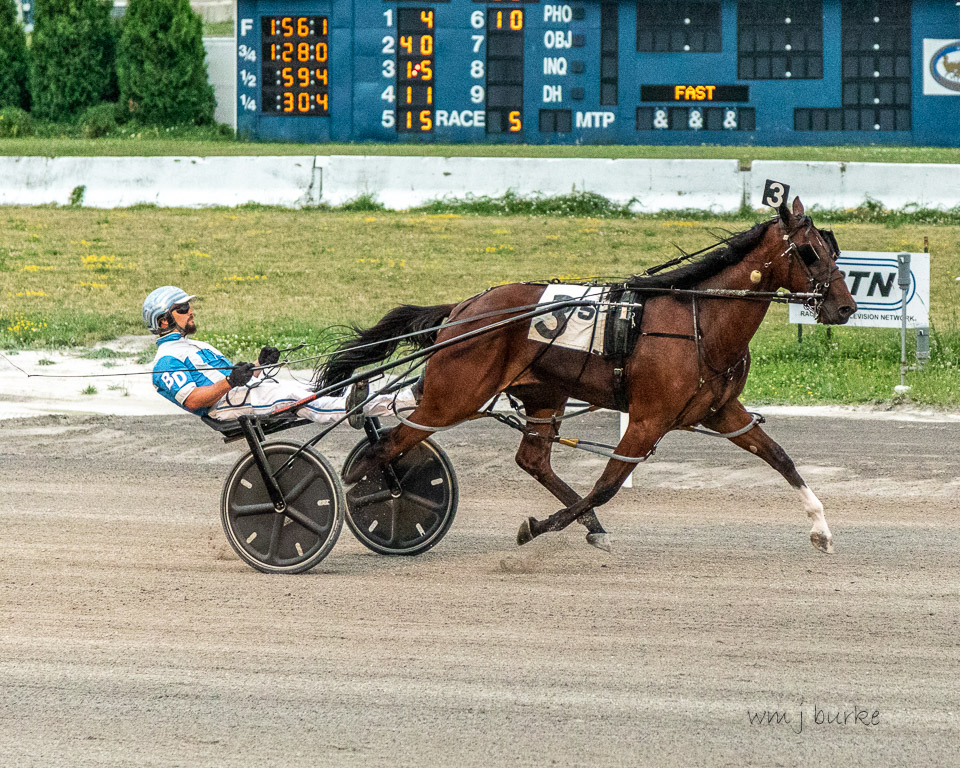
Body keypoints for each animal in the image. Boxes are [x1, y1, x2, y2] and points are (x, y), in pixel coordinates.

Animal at [318, 198, 860, 556]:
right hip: (457, 395)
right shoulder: (647, 420)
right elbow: (606, 485)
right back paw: (366, 478)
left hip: (540, 395)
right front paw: (537, 527)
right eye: (810, 252)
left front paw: (821, 528)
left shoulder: (723, 411)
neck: (699, 318)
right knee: (390, 444)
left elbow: (780, 457)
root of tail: (464, 308)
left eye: (832, 248)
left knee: (531, 458)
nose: (846, 307)